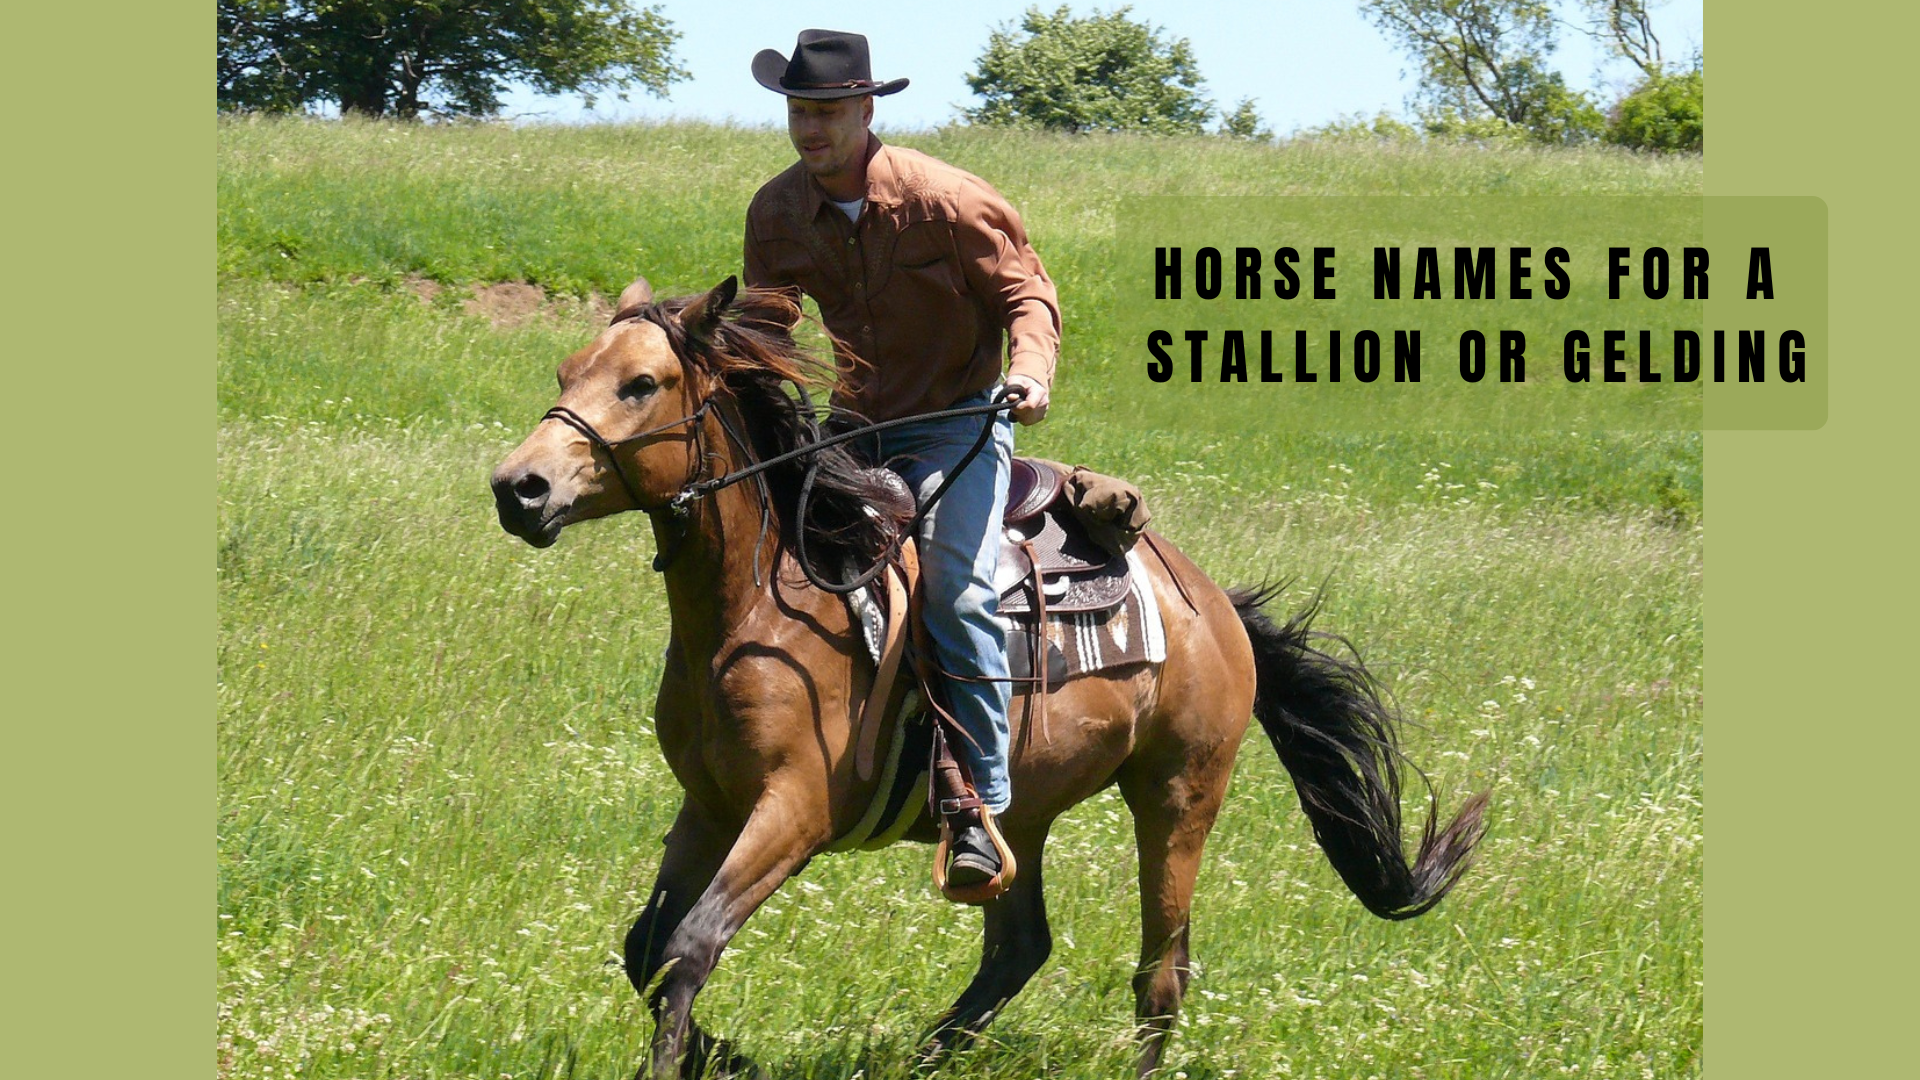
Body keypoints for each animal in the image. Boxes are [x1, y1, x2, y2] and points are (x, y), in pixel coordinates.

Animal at [489, 276, 1488, 1079]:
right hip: (1023, 808)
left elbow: (691, 946)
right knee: (1019, 947)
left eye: (641, 384)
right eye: (566, 372)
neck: (761, 608)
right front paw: (726, 1054)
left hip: (1178, 795)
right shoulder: (709, 805)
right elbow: (646, 948)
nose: (518, 488)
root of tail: (1214, 602)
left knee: (1161, 970)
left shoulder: (791, 811)